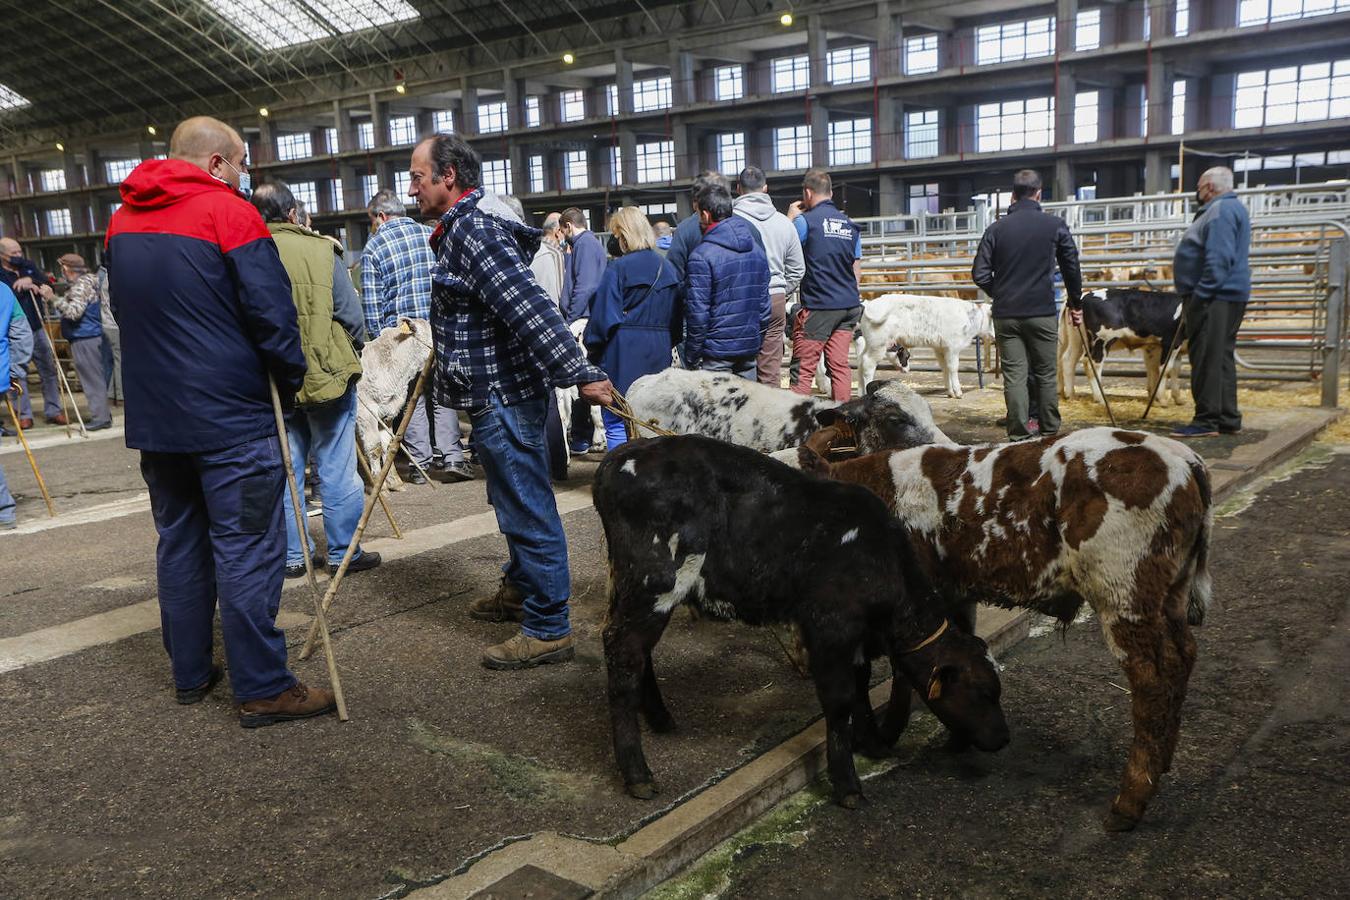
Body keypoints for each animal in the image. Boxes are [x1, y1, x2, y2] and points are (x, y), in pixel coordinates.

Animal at [596, 431, 1009, 804]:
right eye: (983, 692)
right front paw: (847, 782)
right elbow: (840, 700)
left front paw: (872, 742)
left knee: (638, 652)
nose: (1003, 738)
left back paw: (659, 718)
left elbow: (860, 687)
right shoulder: (829, 628)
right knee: (624, 653)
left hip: (636, 589)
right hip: (655, 582)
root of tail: (627, 453)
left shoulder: (856, 639)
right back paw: (637, 773)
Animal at [799, 426, 1215, 836]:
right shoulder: (953, 595)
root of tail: (1184, 458)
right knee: (1183, 657)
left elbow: (902, 672)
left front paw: (886, 736)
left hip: (1124, 591)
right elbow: (952, 657)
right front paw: (957, 735)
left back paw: (1129, 802)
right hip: (1170, 594)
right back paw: (1161, 760)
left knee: (1153, 678)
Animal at [1058, 290, 1188, 407]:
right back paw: (1100, 398)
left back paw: (1071, 395)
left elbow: (1170, 369)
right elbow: (1165, 369)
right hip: (1103, 339)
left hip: (1077, 339)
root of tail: (1084, 295)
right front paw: (1162, 400)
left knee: (1068, 360)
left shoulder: (1155, 346)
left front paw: (1175, 398)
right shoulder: (1171, 342)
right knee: (1093, 364)